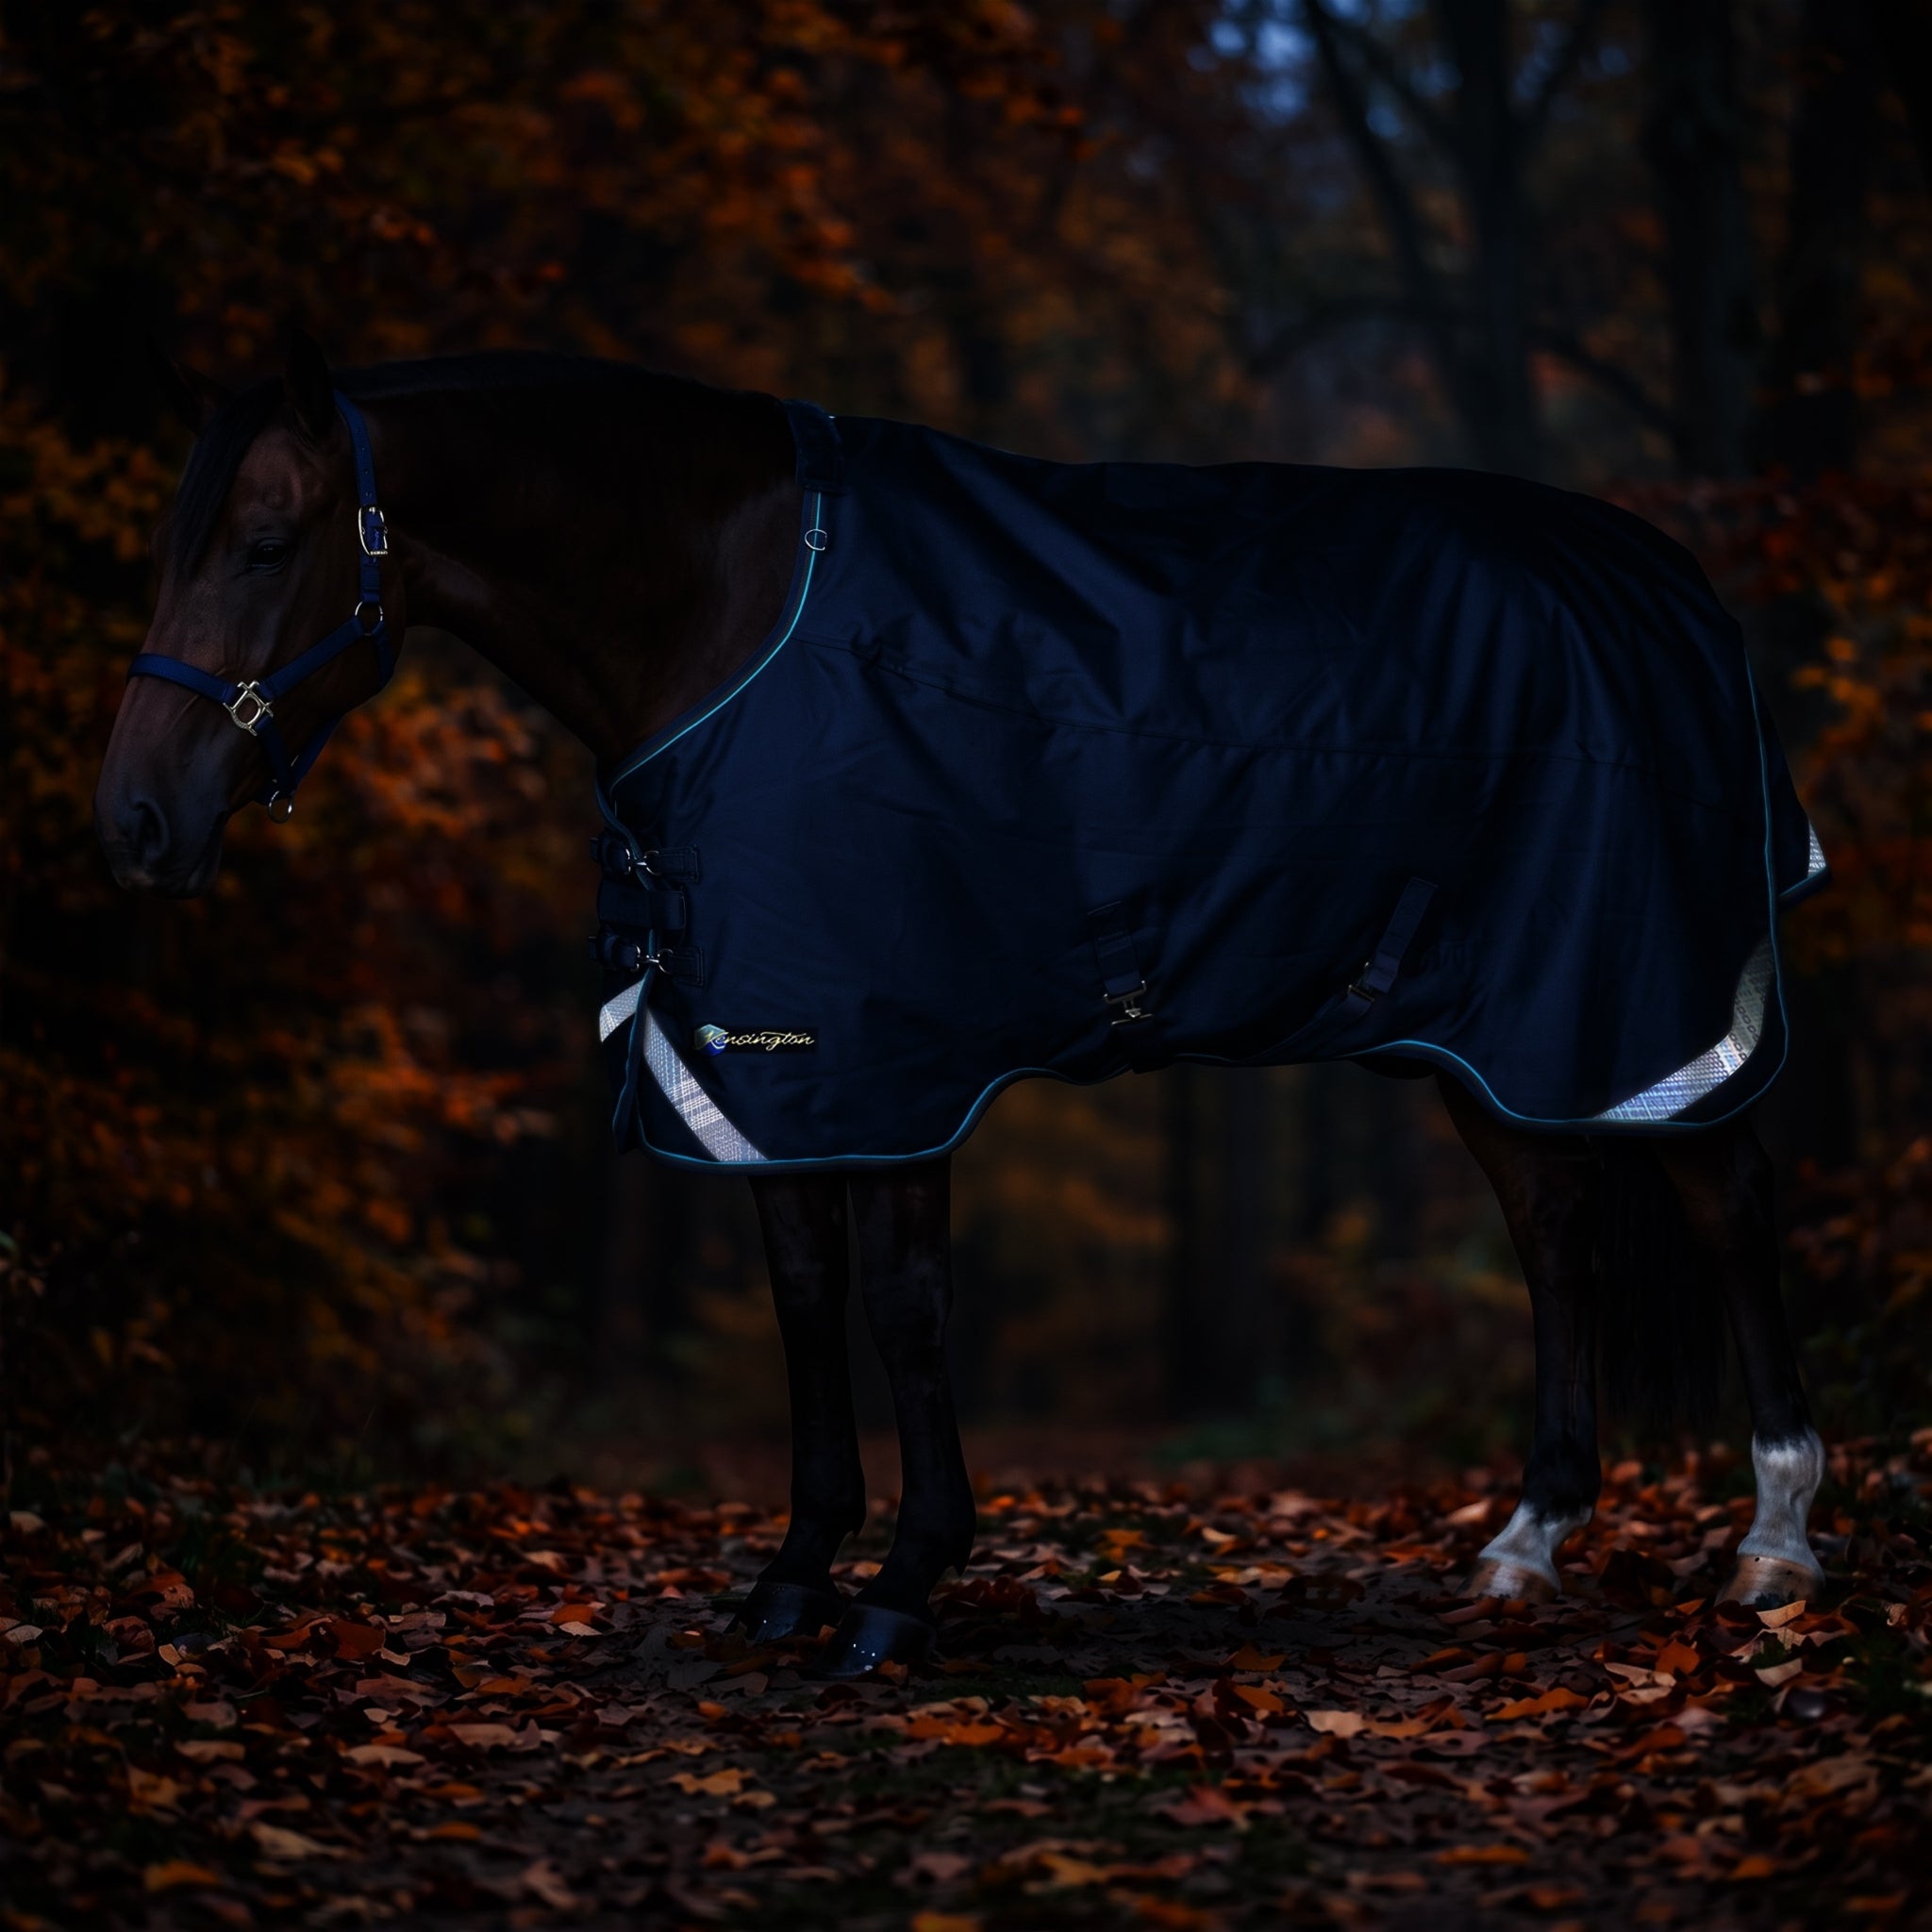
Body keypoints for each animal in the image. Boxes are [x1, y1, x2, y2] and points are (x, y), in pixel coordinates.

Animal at [95, 335, 1829, 1676]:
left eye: (266, 542)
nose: (133, 823)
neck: (733, 609)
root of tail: (1671, 583)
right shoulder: (762, 1059)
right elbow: (804, 1298)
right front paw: (795, 1575)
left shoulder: (890, 1051)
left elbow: (905, 1307)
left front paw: (904, 1589)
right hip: (1500, 1029)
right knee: (1558, 1229)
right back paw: (1525, 1546)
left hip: (1644, 1000)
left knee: (1731, 1205)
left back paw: (1774, 1544)